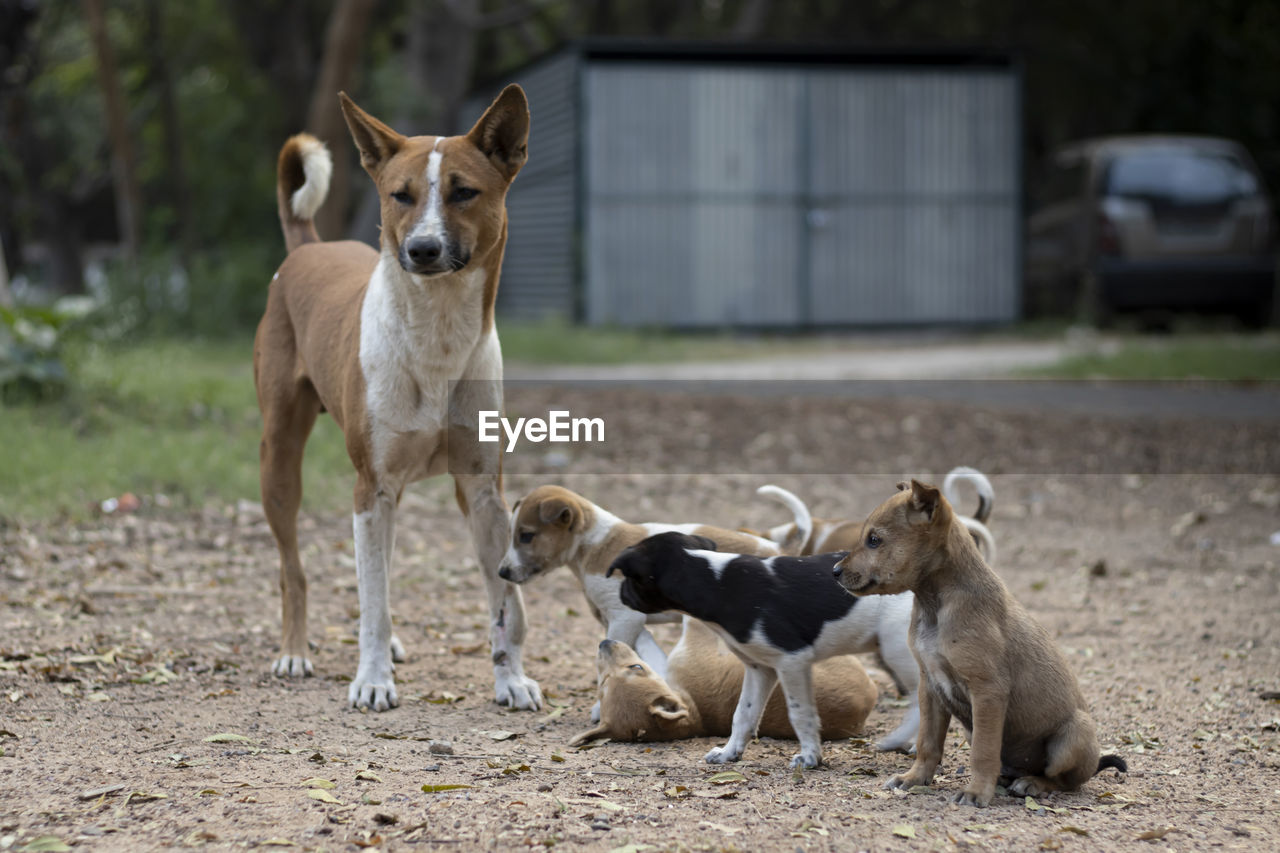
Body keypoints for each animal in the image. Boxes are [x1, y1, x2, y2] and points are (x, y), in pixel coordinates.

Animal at [257, 86, 542, 712]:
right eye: (400, 195)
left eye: (464, 192)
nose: (423, 249)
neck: (437, 336)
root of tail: (307, 246)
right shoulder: (371, 487)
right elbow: (372, 602)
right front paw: (371, 679)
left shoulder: (482, 491)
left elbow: (504, 605)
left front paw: (510, 680)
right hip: (279, 460)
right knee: (295, 570)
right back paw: (295, 651)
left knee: (379, 568)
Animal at [570, 612, 880, 742]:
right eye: (637, 668)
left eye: (602, 685)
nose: (604, 643)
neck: (697, 715)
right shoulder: (693, 644)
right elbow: (692, 619)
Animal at [604, 532, 916, 763]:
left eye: (629, 578)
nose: (619, 595)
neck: (714, 581)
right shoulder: (760, 667)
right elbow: (743, 713)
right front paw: (729, 753)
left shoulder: (792, 660)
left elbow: (800, 712)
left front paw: (810, 757)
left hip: (898, 649)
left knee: (919, 701)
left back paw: (899, 740)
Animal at [829, 479, 1121, 804]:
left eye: (874, 540)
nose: (834, 572)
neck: (936, 604)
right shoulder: (930, 686)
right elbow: (928, 742)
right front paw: (915, 778)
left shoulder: (987, 691)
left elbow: (983, 751)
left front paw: (976, 792)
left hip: (1072, 735)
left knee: (1065, 780)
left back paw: (1032, 783)